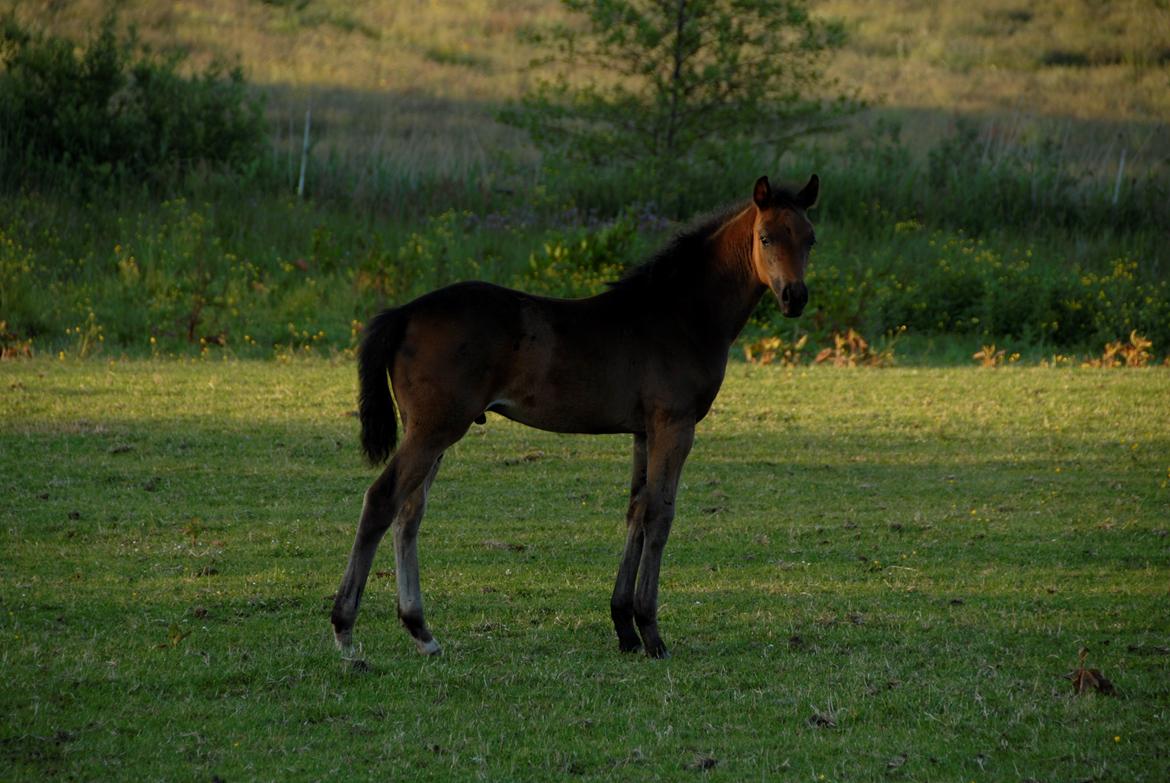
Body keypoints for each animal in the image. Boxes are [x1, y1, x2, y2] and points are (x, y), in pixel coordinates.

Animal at [334, 174, 819, 655]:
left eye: (810, 238)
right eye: (766, 236)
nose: (794, 297)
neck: (680, 315)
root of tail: (404, 313)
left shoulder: (643, 432)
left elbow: (636, 511)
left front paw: (624, 628)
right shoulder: (674, 425)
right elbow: (660, 515)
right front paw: (651, 632)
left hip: (430, 430)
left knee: (409, 513)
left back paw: (422, 632)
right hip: (436, 428)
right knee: (382, 501)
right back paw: (346, 634)